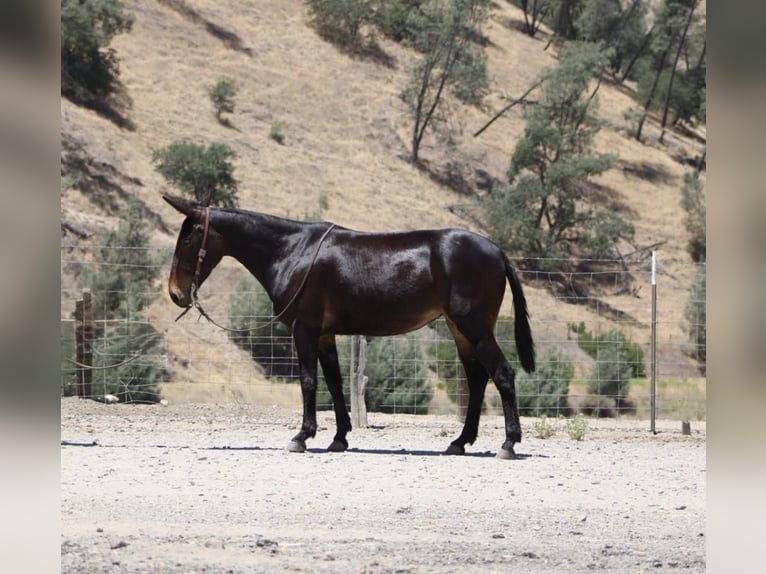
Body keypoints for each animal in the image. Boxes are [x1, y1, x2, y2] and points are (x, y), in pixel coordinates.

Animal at [163, 194, 535, 459]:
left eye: (188, 239)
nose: (176, 294)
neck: (293, 251)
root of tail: (497, 251)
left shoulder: (305, 329)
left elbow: (309, 382)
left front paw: (302, 436)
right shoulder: (325, 334)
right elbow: (334, 382)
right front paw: (339, 437)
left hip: (474, 326)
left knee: (503, 374)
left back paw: (508, 444)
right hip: (460, 329)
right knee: (477, 379)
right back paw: (460, 441)